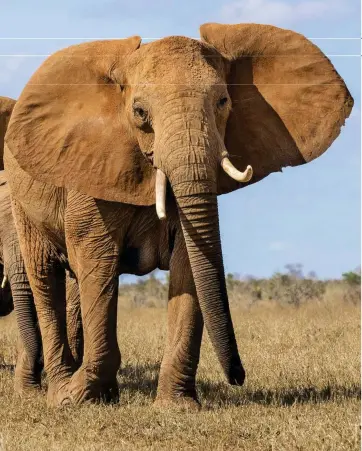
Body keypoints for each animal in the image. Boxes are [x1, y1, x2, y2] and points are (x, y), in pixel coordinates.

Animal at [3, 22, 354, 410]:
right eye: (140, 112)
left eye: (223, 102)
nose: (238, 376)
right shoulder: (90, 171)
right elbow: (97, 262)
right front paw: (77, 400)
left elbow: (189, 265)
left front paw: (177, 407)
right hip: (21, 203)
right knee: (45, 276)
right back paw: (59, 392)